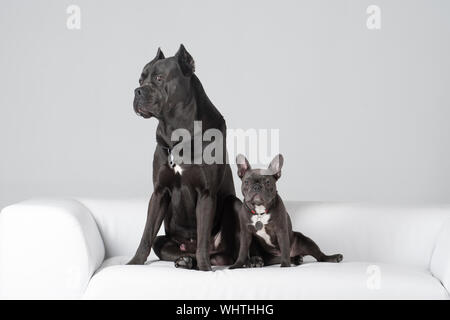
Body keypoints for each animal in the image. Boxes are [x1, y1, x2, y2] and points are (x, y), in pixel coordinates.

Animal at [127, 44, 239, 270]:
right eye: (140, 80)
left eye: (159, 78)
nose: (137, 91)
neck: (178, 130)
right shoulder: (159, 192)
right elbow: (146, 234)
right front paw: (134, 263)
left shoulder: (206, 193)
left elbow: (203, 239)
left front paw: (205, 270)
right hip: (167, 240)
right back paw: (186, 260)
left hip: (235, 204)